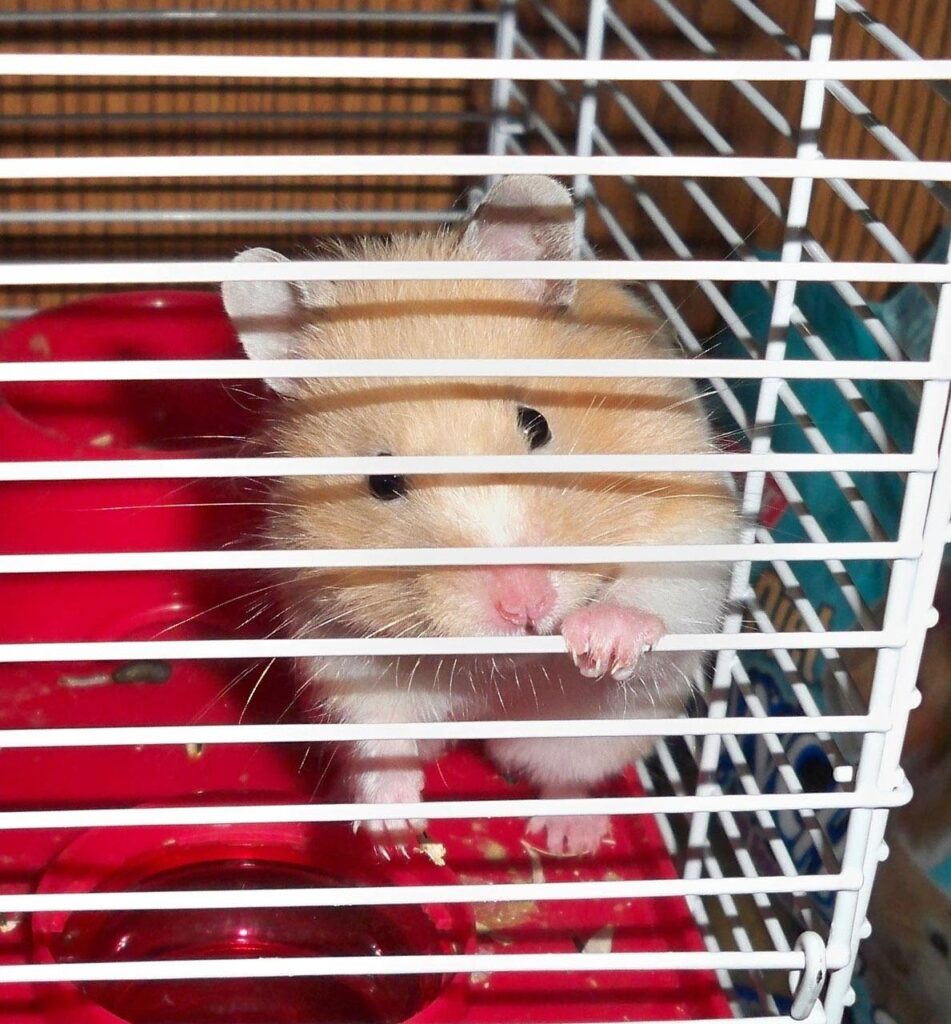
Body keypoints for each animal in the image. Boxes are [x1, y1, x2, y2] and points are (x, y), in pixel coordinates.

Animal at [221, 175, 736, 856]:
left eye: (537, 424)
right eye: (382, 482)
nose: (525, 606)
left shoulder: (690, 515)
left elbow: (656, 589)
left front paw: (600, 642)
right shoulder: (333, 632)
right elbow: (378, 730)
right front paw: (394, 831)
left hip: (587, 731)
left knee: (567, 774)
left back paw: (568, 837)